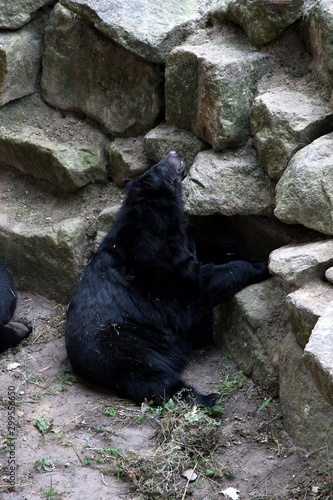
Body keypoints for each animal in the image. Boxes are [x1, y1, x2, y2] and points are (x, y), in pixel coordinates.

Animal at [64, 151, 268, 406]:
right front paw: (263, 264)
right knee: (153, 378)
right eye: (159, 167)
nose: (173, 153)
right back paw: (206, 397)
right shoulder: (158, 259)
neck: (157, 218)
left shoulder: (180, 242)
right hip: (123, 347)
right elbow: (202, 282)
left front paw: (238, 250)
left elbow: (204, 249)